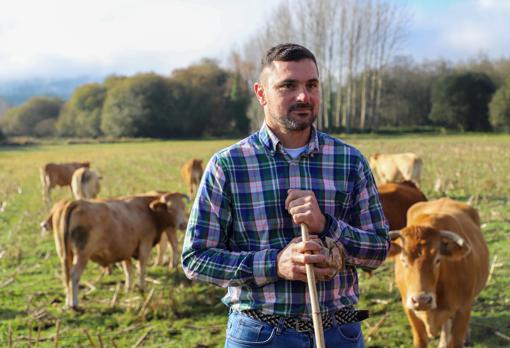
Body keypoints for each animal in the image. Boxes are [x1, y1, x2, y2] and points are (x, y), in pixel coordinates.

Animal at [57, 192, 188, 308]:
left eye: (183, 207)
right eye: (170, 209)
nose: (183, 224)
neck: (148, 211)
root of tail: (76, 203)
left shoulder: (126, 250)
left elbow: (128, 269)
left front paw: (128, 288)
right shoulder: (145, 244)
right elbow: (141, 267)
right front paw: (142, 287)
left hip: (66, 255)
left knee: (66, 276)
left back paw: (67, 302)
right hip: (82, 255)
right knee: (74, 275)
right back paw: (74, 303)